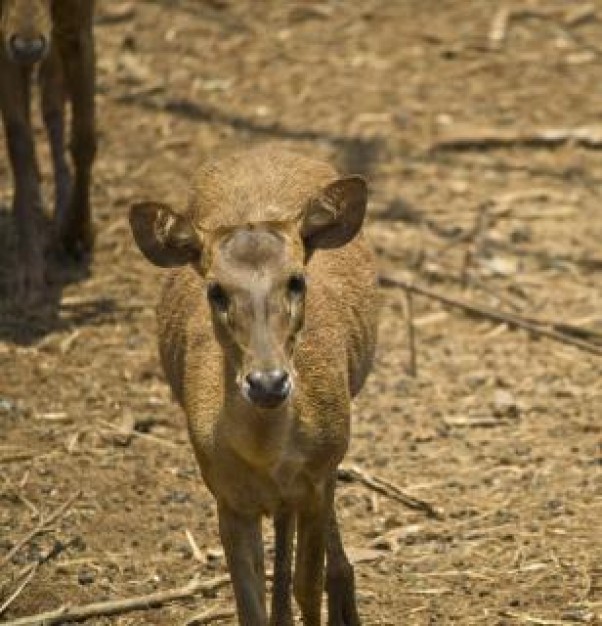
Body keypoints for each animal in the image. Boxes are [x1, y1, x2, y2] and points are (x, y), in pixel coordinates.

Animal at [0, 0, 95, 298]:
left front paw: (76, 234)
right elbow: (19, 140)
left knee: (52, 97)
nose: (27, 48)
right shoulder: (4, 43)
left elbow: (84, 140)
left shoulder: (78, 27)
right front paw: (30, 270)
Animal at [129, 147, 378, 624]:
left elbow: (307, 586)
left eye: (296, 280)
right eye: (215, 290)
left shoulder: (318, 476)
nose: (267, 383)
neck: (265, 455)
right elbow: (250, 605)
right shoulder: (225, 493)